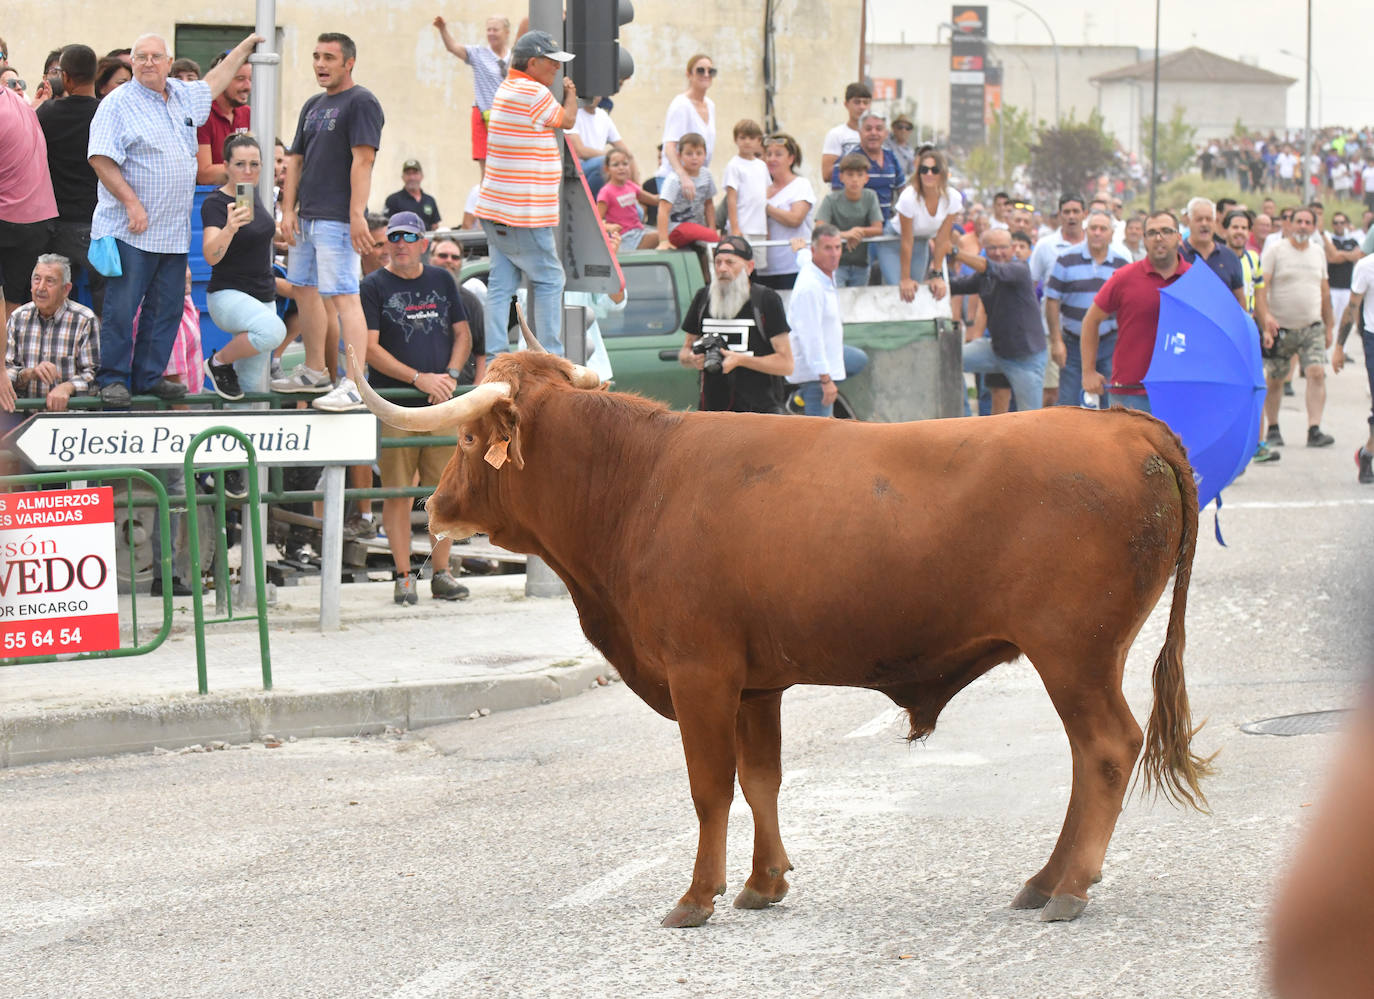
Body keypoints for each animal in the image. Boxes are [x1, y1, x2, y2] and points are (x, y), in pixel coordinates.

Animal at [354, 346, 1214, 928]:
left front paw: (696, 896)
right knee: (1088, 756)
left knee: (1105, 746)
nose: (433, 505)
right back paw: (1043, 878)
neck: (637, 481)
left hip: (1074, 653)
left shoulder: (699, 670)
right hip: (1080, 655)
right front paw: (763, 883)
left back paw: (1068, 886)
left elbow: (710, 787)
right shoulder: (755, 681)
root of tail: (1127, 428)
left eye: (468, 441)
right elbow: (762, 779)